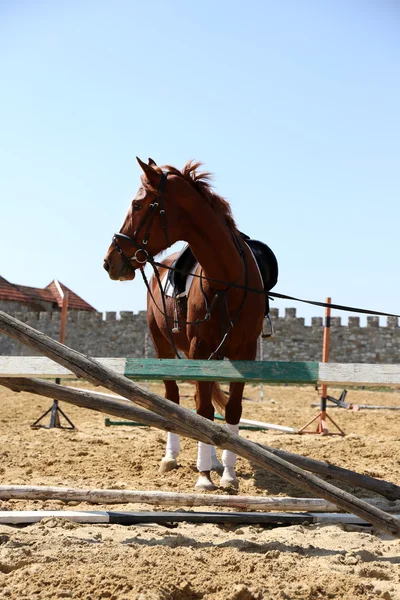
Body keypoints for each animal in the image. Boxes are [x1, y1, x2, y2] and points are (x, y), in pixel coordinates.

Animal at [103, 161, 266, 492]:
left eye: (137, 205)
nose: (109, 261)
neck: (226, 283)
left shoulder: (244, 354)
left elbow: (231, 410)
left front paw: (228, 474)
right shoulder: (199, 351)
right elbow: (201, 411)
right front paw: (204, 477)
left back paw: (215, 461)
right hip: (164, 347)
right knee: (174, 399)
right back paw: (172, 457)